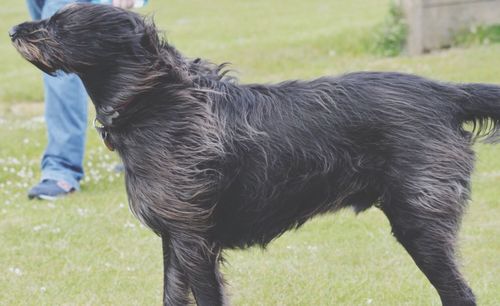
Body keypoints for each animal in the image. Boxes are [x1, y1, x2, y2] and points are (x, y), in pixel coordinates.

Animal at [8, 3, 500, 304]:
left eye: (59, 24)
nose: (14, 29)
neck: (156, 99)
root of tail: (446, 92)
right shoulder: (175, 240)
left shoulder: (194, 241)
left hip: (420, 225)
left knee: (460, 294)